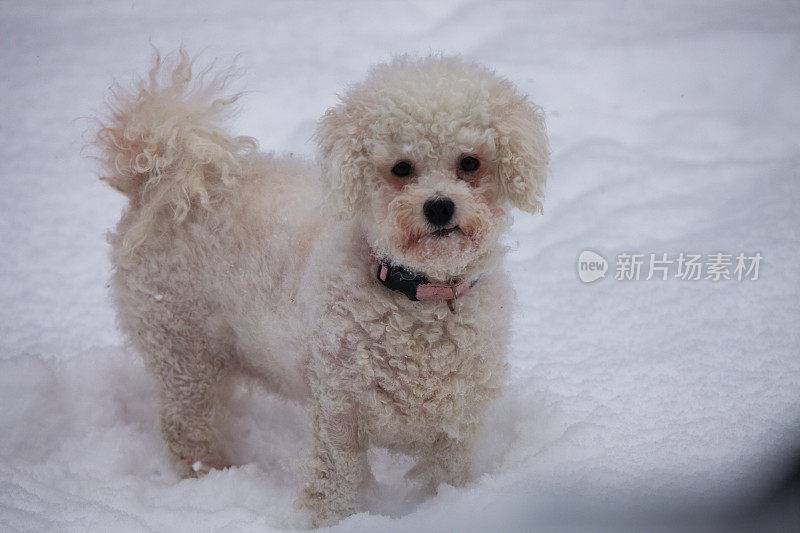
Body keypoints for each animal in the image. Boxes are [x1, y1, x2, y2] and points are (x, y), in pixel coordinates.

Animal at [97, 50, 552, 524]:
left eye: (470, 162)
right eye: (402, 168)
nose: (440, 207)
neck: (419, 297)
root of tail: (164, 176)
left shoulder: (456, 417)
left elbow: (446, 476)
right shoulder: (339, 407)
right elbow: (335, 482)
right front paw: (329, 522)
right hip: (180, 342)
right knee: (186, 426)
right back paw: (212, 476)